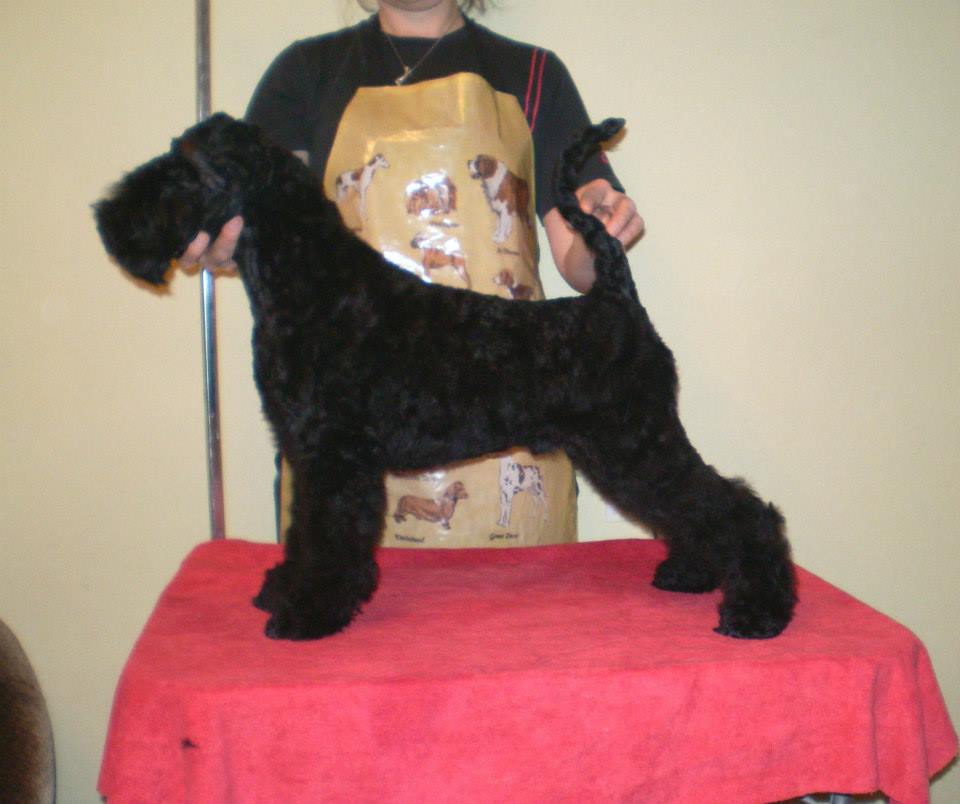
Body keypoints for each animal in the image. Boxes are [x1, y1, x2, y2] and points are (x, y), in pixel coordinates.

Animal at [94, 113, 796, 641]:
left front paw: (309, 612)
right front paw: (287, 588)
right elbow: (301, 531)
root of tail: (616, 298)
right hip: (626, 448)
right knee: (695, 507)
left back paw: (757, 610)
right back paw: (692, 573)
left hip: (635, 441)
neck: (315, 285)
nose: (107, 216)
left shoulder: (334, 456)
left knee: (738, 507)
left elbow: (328, 536)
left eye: (187, 167)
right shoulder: (308, 451)